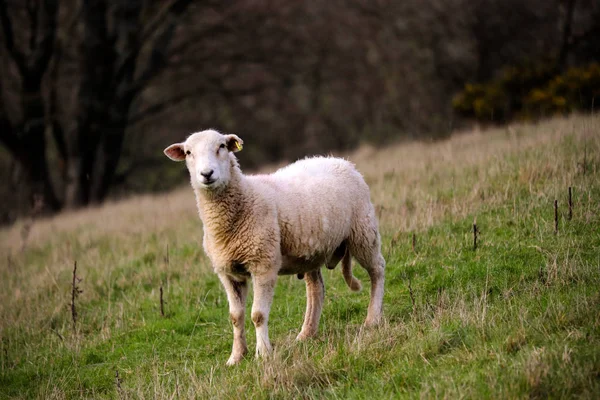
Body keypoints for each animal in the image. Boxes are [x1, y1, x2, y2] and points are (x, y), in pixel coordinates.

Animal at [164, 129, 384, 366]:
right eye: (188, 152)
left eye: (221, 146)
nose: (207, 174)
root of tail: (340, 161)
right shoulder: (227, 273)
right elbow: (236, 317)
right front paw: (236, 356)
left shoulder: (263, 263)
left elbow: (258, 315)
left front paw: (263, 353)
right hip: (311, 250)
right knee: (316, 289)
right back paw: (306, 334)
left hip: (363, 231)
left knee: (377, 270)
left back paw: (373, 318)